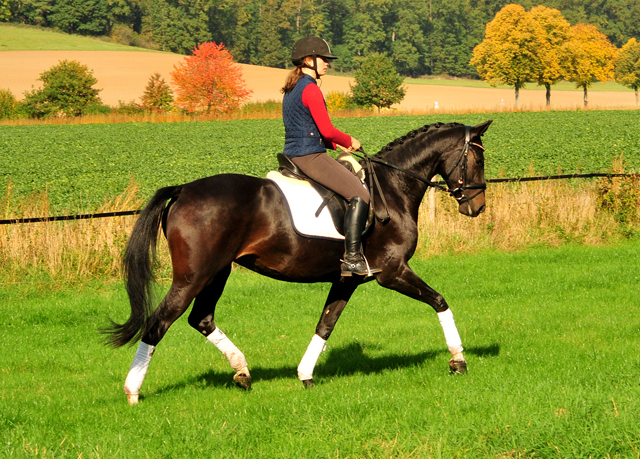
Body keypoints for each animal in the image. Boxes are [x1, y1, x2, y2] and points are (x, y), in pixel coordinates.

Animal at [107, 120, 492, 404]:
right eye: (478, 159)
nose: (477, 207)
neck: (393, 185)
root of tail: (184, 189)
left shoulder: (347, 279)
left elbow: (326, 324)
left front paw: (305, 375)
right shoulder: (393, 271)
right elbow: (440, 301)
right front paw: (458, 360)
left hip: (217, 272)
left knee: (200, 318)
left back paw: (242, 372)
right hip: (193, 276)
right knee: (158, 323)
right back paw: (133, 392)